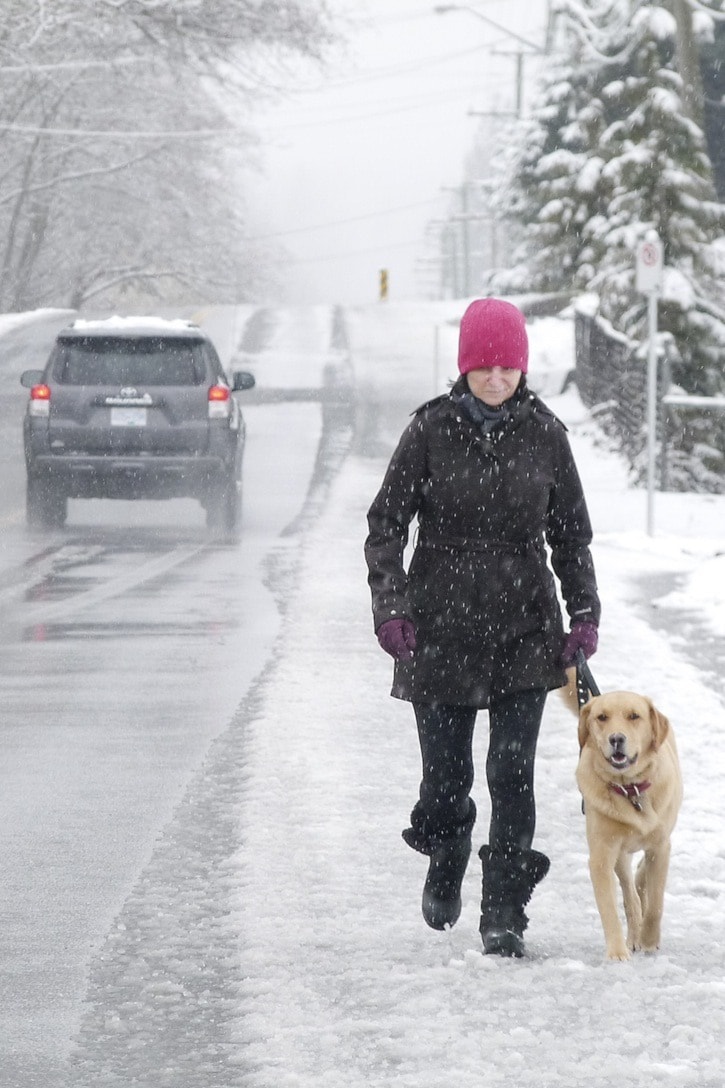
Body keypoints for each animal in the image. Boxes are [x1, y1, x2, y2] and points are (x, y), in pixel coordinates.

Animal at [574, 687, 679, 961]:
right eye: (602, 717)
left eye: (634, 716)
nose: (616, 738)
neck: (630, 789)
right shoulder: (602, 856)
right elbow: (609, 908)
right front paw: (617, 952)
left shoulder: (661, 847)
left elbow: (656, 903)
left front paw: (650, 940)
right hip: (620, 855)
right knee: (630, 896)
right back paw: (632, 935)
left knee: (642, 878)